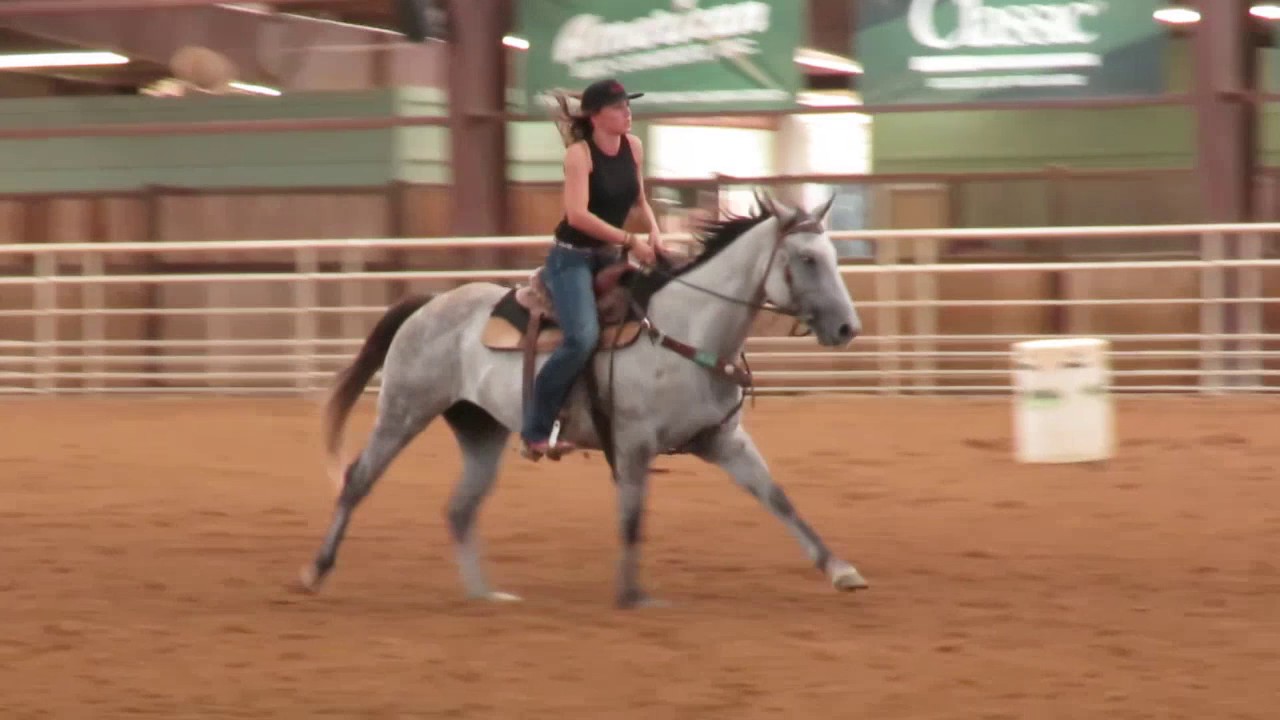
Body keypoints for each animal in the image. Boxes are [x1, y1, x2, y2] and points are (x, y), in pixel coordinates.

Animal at [298, 191, 869, 608]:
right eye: (808, 259)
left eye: (833, 257)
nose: (848, 328)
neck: (685, 330)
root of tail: (430, 303)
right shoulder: (634, 445)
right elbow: (633, 518)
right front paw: (632, 595)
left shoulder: (723, 440)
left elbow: (778, 498)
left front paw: (840, 570)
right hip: (403, 411)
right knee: (357, 480)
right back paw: (314, 572)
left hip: (481, 431)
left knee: (460, 510)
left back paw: (486, 596)